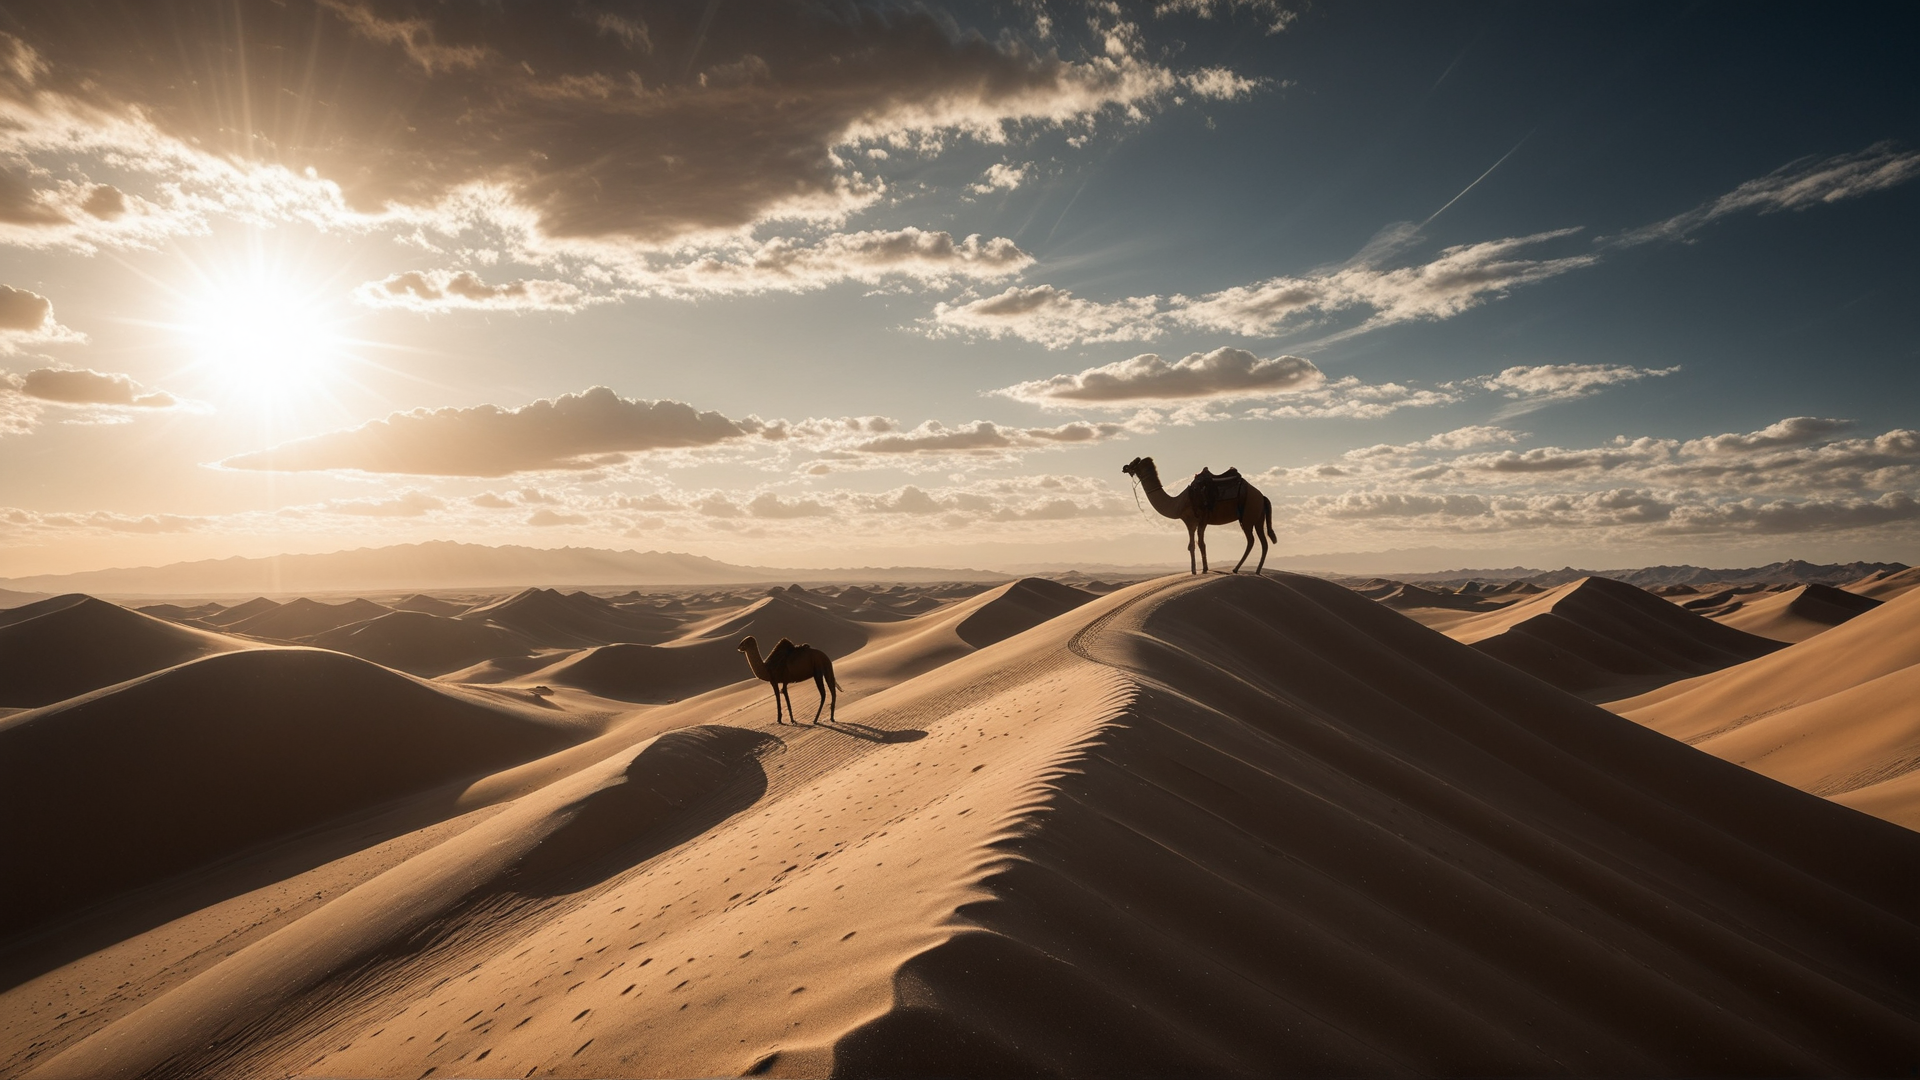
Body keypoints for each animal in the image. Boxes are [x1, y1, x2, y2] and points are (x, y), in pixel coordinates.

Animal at [1122, 455, 1276, 575]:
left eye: (1135, 463)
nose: (1124, 467)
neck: (1178, 503)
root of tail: (1262, 496)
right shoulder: (1195, 522)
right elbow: (1197, 544)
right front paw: (1202, 569)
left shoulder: (1195, 520)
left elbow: (1196, 544)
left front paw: (1197, 571)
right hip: (1257, 518)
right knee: (1263, 542)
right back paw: (1253, 570)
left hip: (1248, 516)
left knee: (1252, 540)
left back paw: (1239, 569)